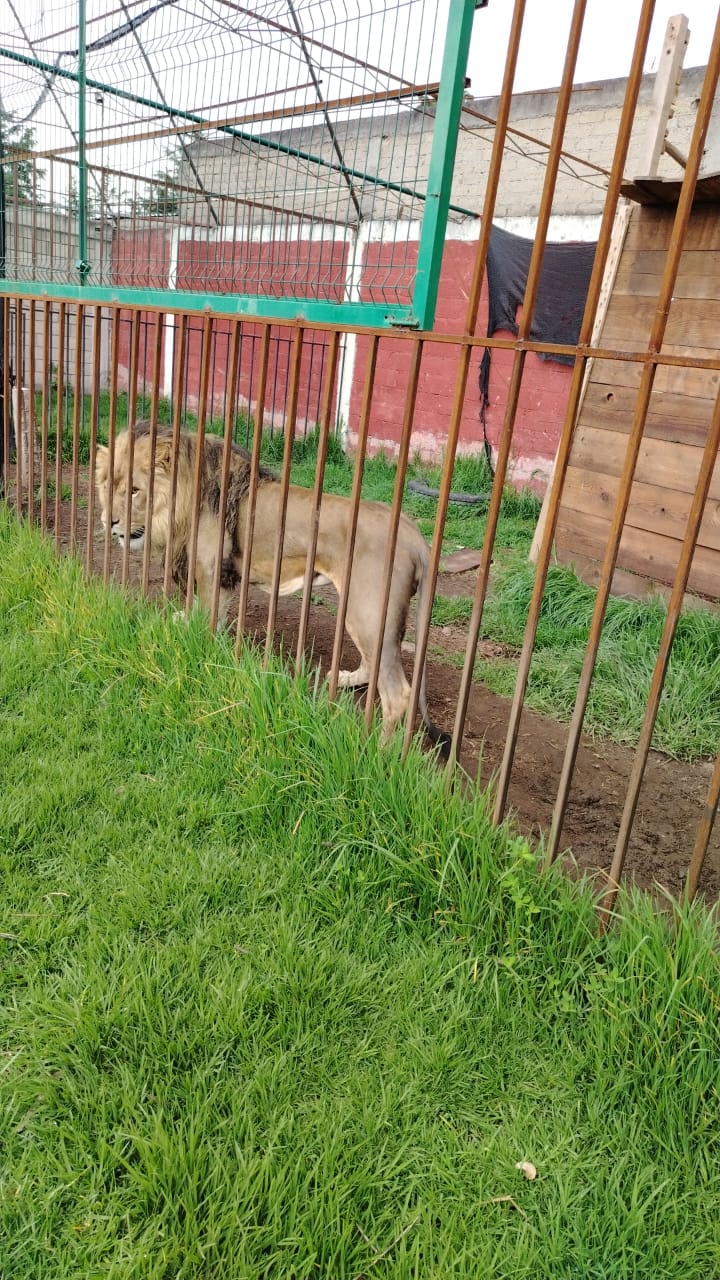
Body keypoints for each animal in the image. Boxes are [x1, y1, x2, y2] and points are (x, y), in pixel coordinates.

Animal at [96, 425, 450, 753]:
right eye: (107, 486)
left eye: (134, 491)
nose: (107, 521)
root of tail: (413, 533)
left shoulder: (211, 572)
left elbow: (207, 622)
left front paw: (200, 651)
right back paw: (345, 680)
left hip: (368, 610)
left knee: (398, 695)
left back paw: (378, 753)